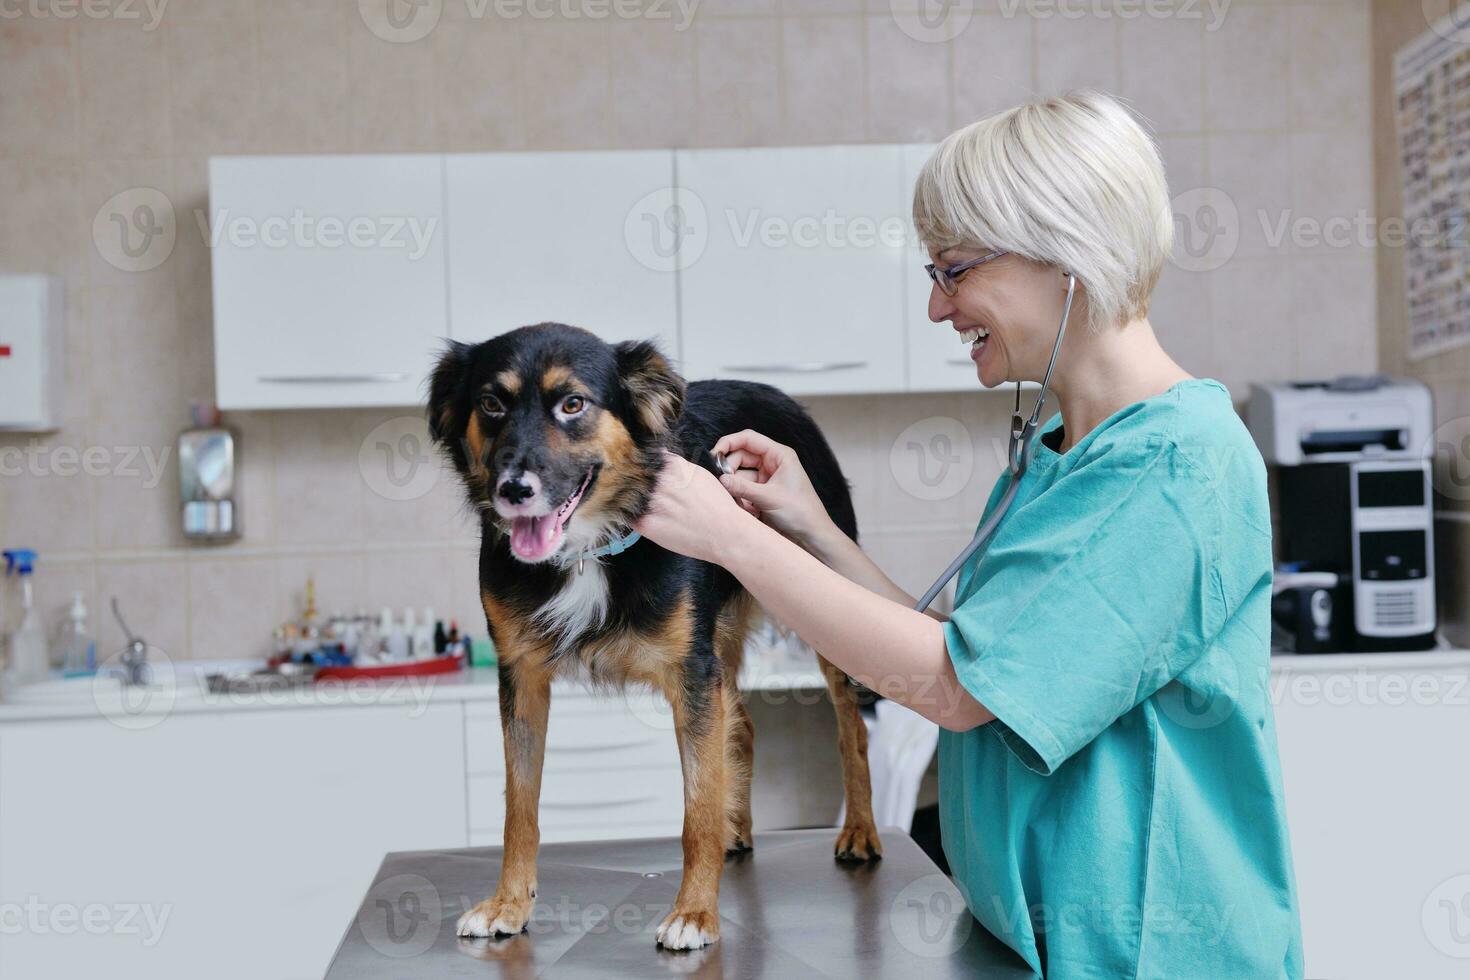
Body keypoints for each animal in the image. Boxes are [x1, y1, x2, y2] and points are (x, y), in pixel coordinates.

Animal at [429, 321, 876, 952]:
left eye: (573, 404)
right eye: (492, 404)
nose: (514, 490)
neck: (588, 549)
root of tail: (777, 393)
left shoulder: (690, 675)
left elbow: (696, 811)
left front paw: (695, 912)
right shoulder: (521, 678)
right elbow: (520, 808)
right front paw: (509, 905)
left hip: (820, 598)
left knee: (851, 729)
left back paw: (859, 830)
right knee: (742, 729)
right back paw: (738, 829)